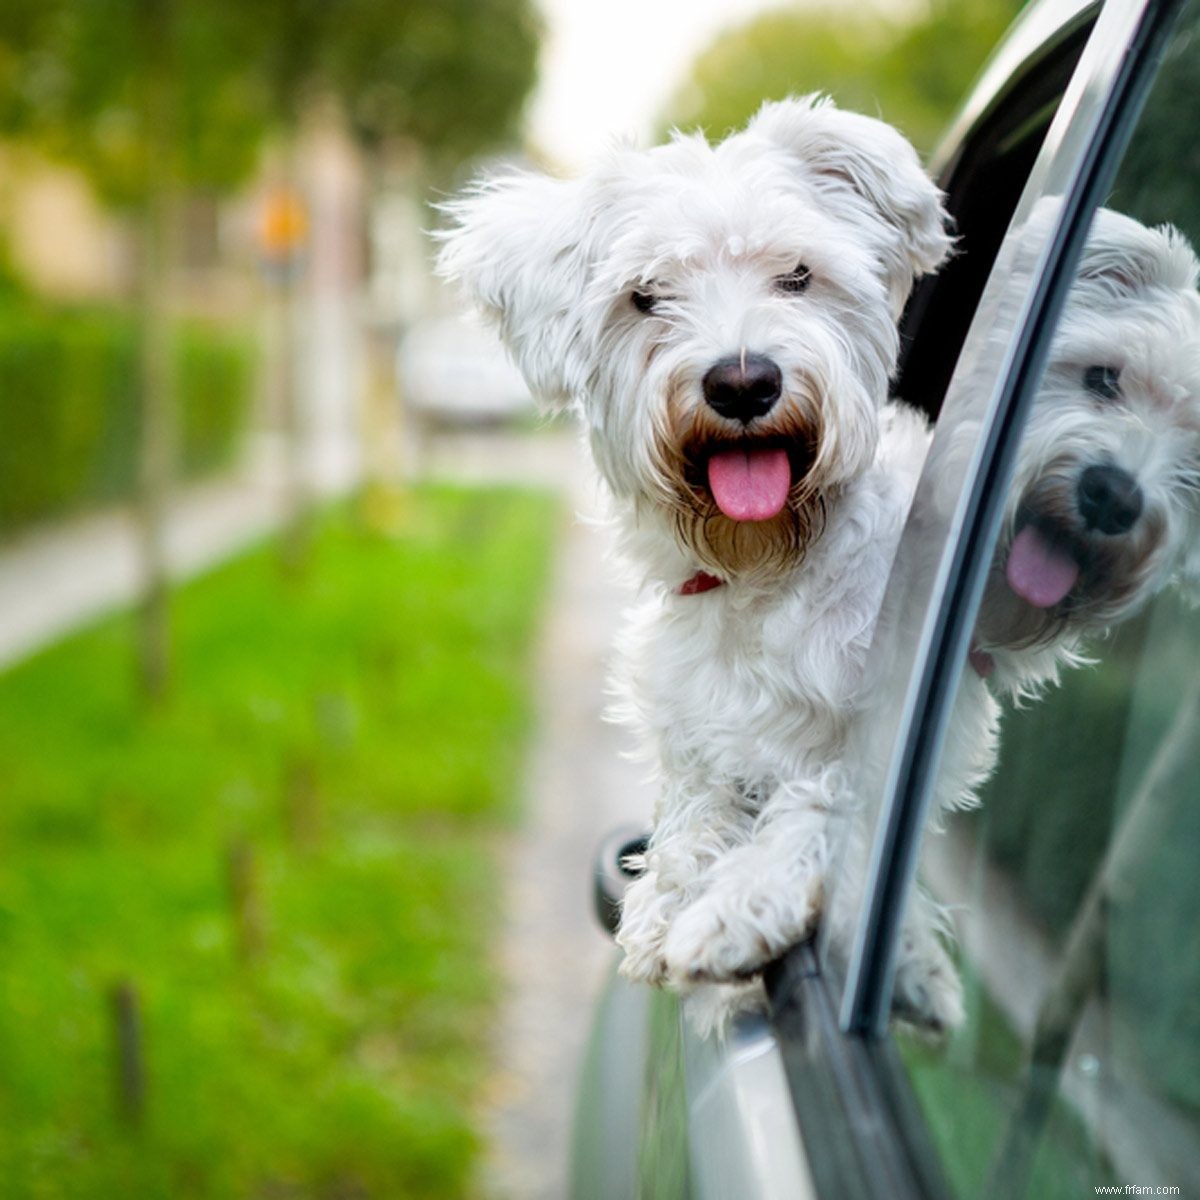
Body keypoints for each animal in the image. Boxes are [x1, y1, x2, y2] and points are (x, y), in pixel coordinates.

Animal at [436, 96, 950, 1012]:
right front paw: (670, 895)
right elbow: (697, 806)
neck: (761, 570)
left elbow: (829, 793)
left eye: (797, 276)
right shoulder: (694, 728)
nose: (742, 383)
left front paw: (745, 902)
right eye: (646, 298)